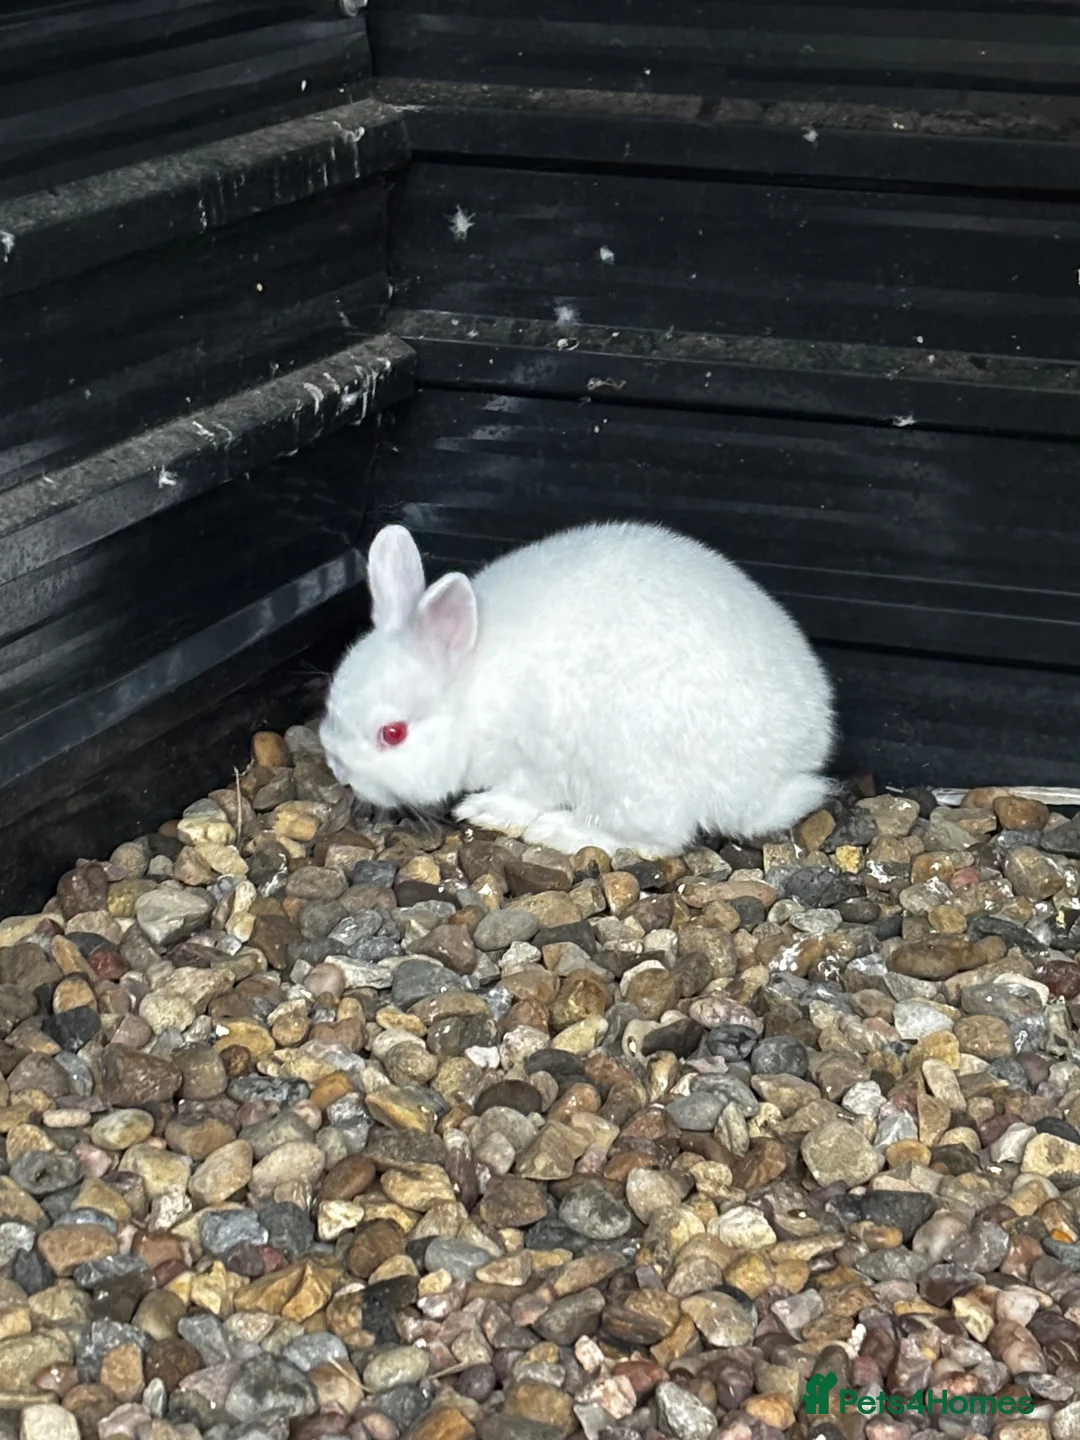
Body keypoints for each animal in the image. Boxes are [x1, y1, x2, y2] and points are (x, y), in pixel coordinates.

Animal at [320, 520, 835, 858]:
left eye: (393, 733)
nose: (341, 773)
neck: (470, 689)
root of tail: (778, 777)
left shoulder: (537, 759)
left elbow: (524, 792)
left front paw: (484, 809)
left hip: (630, 773)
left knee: (661, 839)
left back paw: (558, 832)